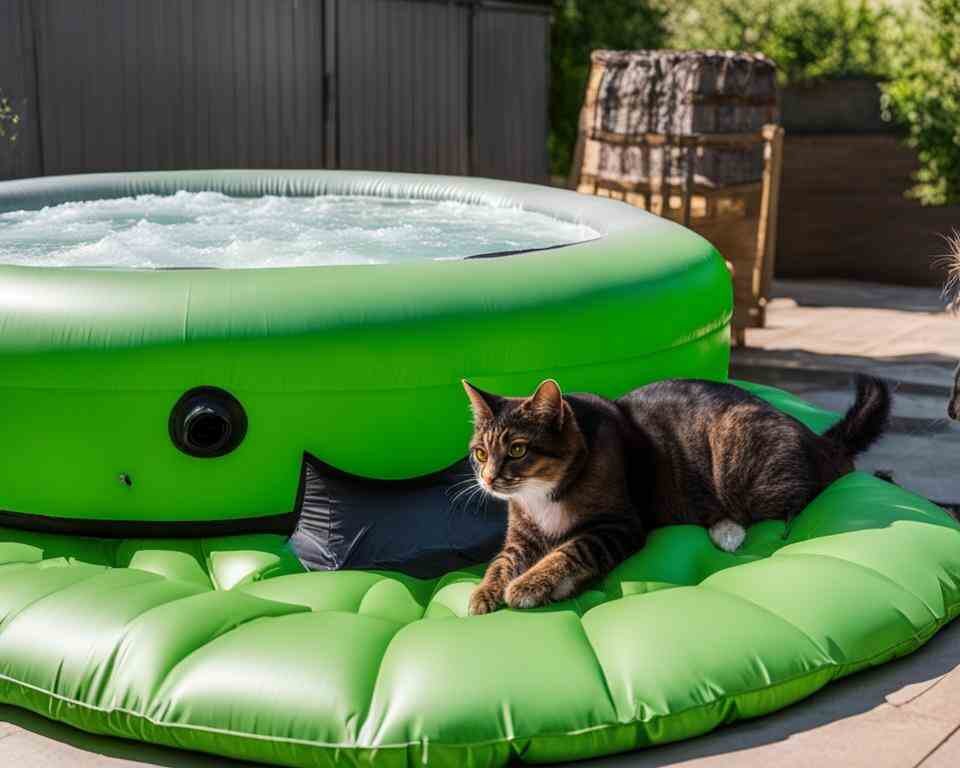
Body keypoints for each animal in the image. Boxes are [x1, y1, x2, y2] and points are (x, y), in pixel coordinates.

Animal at [462, 372, 888, 612]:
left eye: (518, 449)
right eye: (480, 452)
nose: (489, 478)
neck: (542, 493)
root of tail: (818, 439)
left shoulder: (618, 527)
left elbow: (569, 550)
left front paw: (529, 585)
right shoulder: (522, 535)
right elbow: (501, 562)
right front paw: (484, 591)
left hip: (734, 447)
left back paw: (729, 528)